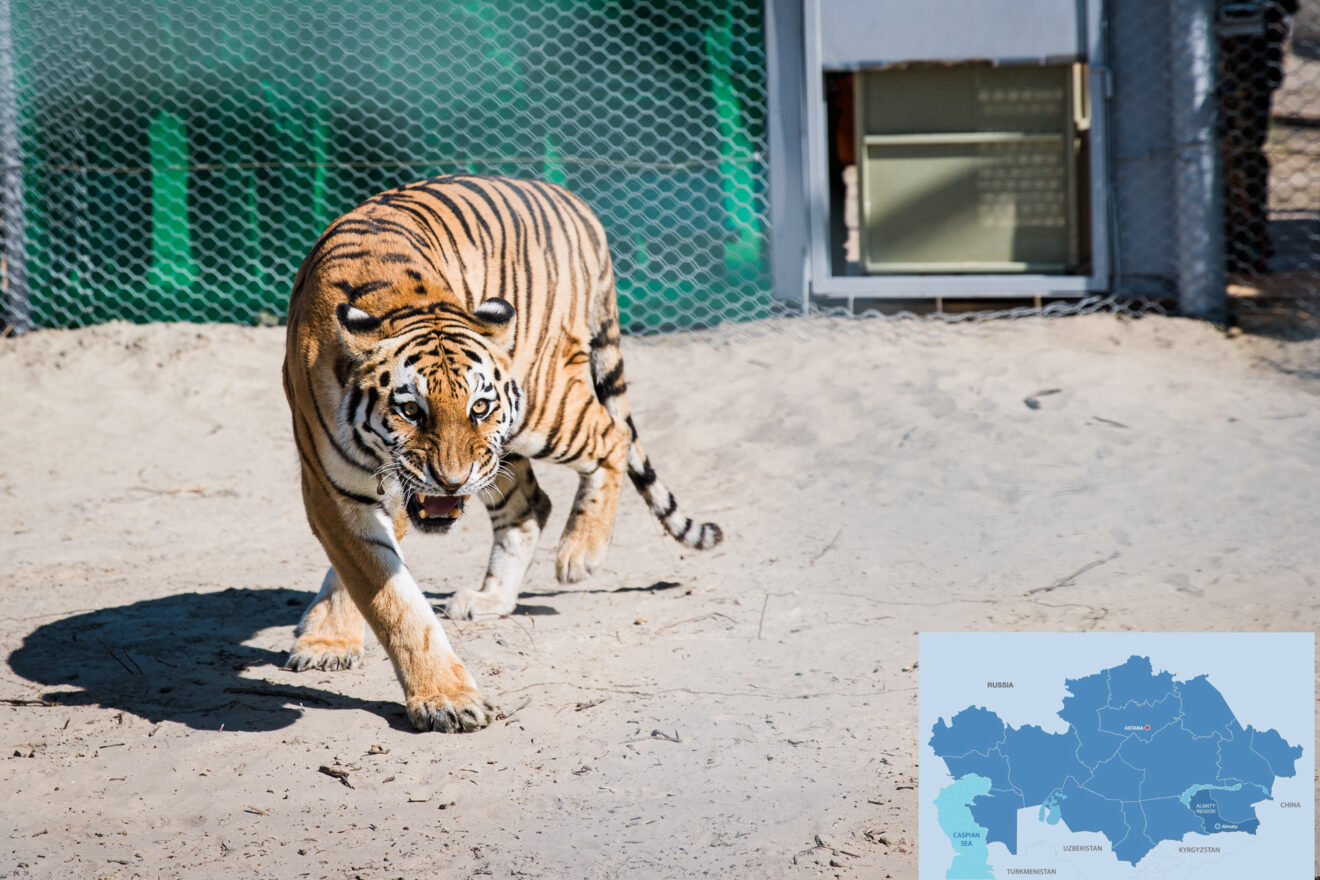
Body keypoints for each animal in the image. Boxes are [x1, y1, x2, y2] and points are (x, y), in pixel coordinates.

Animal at [281, 174, 722, 733]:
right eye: (411, 410)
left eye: (479, 406)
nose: (451, 481)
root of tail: (573, 201)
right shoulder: (333, 489)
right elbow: (385, 593)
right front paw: (334, 642)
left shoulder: (390, 489)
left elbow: (386, 596)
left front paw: (443, 699)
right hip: (501, 451)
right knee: (531, 503)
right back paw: (492, 597)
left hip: (541, 407)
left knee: (611, 436)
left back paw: (580, 553)